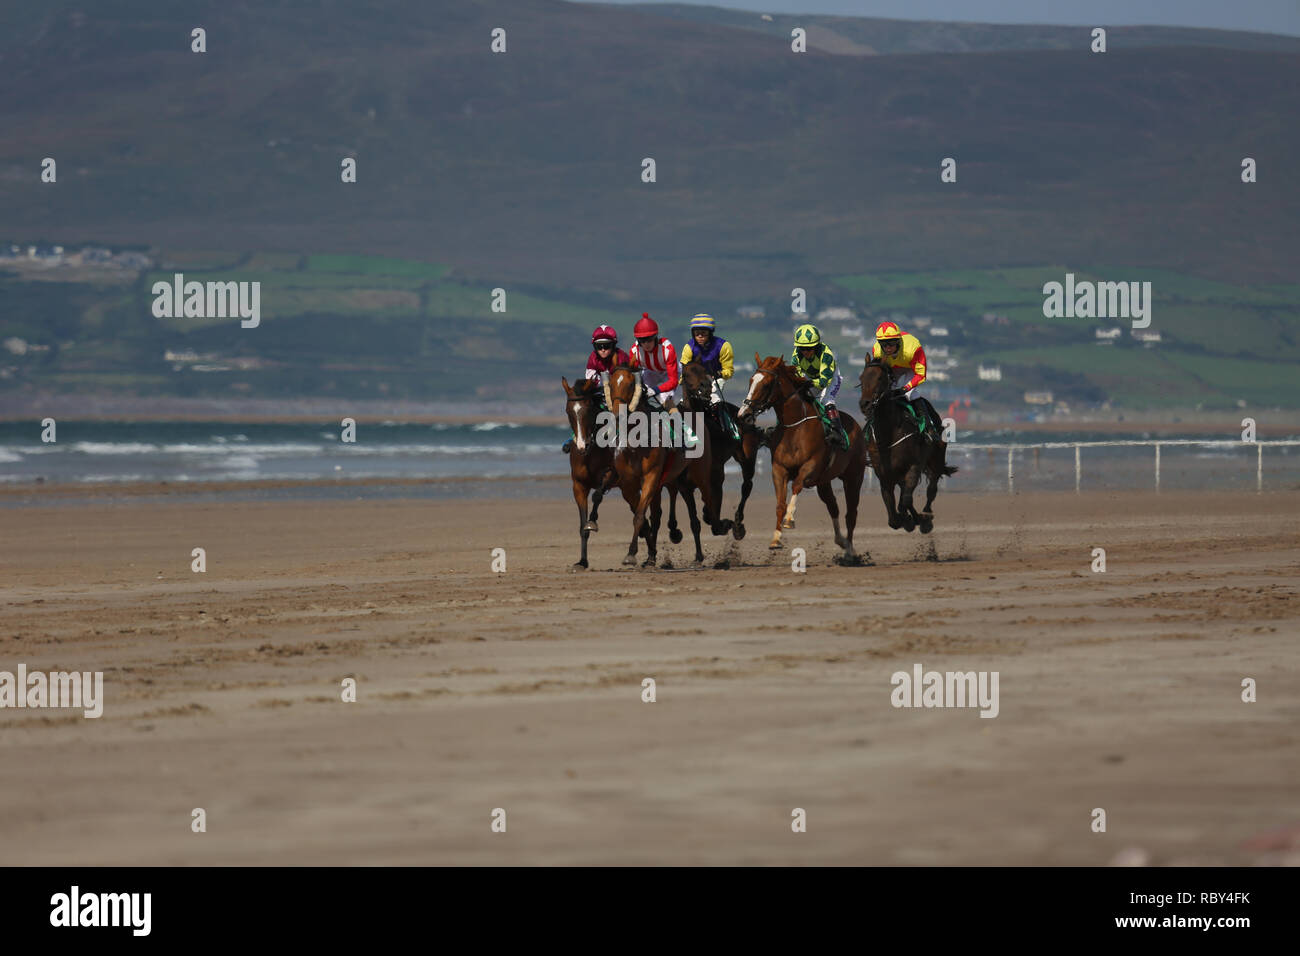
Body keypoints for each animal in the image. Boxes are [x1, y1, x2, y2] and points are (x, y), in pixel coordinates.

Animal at [561, 374, 616, 567]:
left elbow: (597, 495)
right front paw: (582, 561)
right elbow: (582, 526)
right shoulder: (579, 486)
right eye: (568, 411)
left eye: (589, 410)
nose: (581, 446)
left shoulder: (612, 474)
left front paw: (592, 521)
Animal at [738, 353, 868, 561]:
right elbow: (780, 504)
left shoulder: (811, 466)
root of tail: (856, 425)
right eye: (751, 380)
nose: (743, 414)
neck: (795, 427)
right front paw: (776, 539)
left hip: (853, 477)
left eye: (766, 384)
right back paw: (841, 541)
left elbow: (797, 485)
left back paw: (849, 550)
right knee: (833, 507)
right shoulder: (779, 469)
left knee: (851, 513)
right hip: (824, 482)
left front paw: (789, 519)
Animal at [857, 361, 961, 538]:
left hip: (936, 459)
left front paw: (913, 520)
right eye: (861, 377)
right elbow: (893, 516)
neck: (888, 435)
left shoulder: (913, 467)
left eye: (880, 378)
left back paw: (925, 514)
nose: (865, 404)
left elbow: (904, 501)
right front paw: (907, 519)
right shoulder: (884, 475)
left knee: (932, 487)